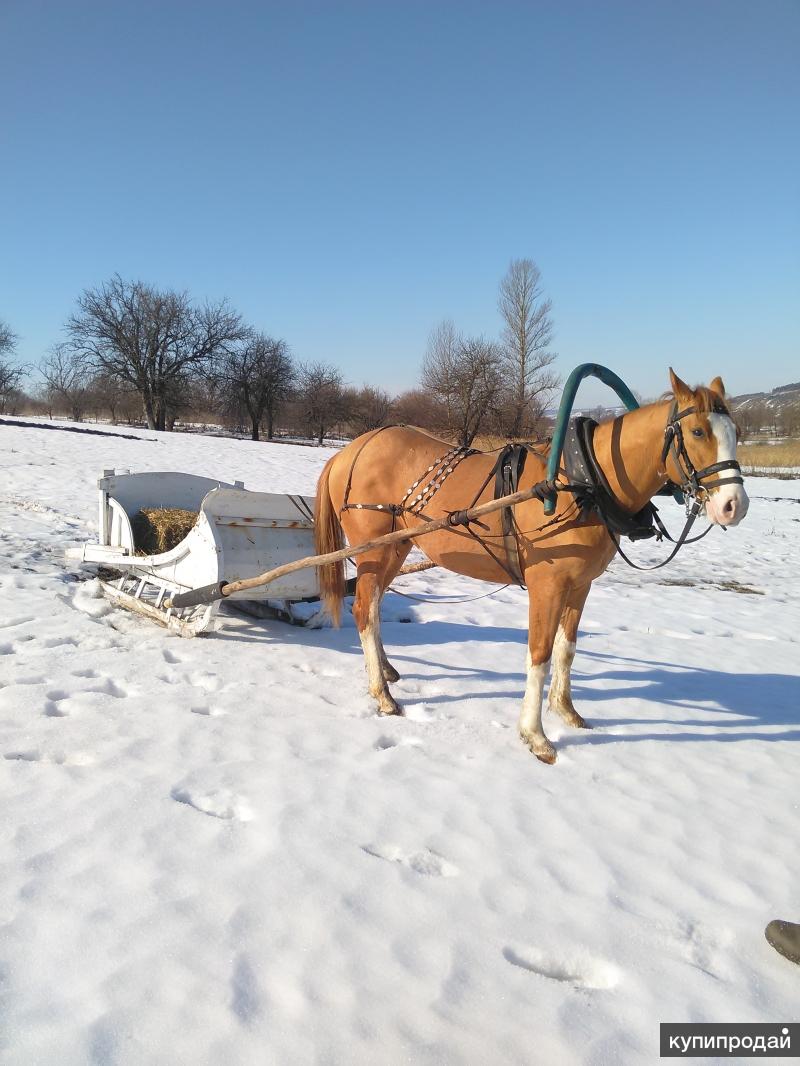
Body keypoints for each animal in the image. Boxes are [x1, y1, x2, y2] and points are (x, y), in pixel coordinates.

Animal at [315, 370, 750, 763]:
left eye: (737, 430)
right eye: (697, 432)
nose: (734, 505)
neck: (581, 483)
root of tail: (350, 450)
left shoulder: (580, 585)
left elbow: (566, 649)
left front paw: (566, 711)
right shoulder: (548, 584)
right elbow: (539, 654)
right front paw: (535, 735)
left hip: (397, 547)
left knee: (372, 608)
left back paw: (386, 671)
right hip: (375, 552)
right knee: (364, 610)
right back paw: (382, 695)